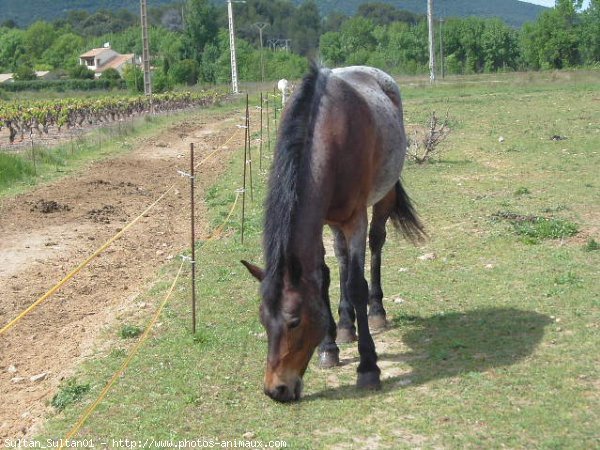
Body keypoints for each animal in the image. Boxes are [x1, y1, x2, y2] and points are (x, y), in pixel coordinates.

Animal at [241, 62, 424, 400]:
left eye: (294, 322)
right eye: (262, 320)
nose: (276, 390)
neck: (330, 134)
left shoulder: (355, 219)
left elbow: (356, 284)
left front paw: (368, 367)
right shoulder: (322, 219)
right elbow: (323, 279)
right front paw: (329, 347)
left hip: (383, 197)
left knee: (376, 244)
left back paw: (376, 312)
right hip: (335, 222)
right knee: (340, 258)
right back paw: (346, 325)